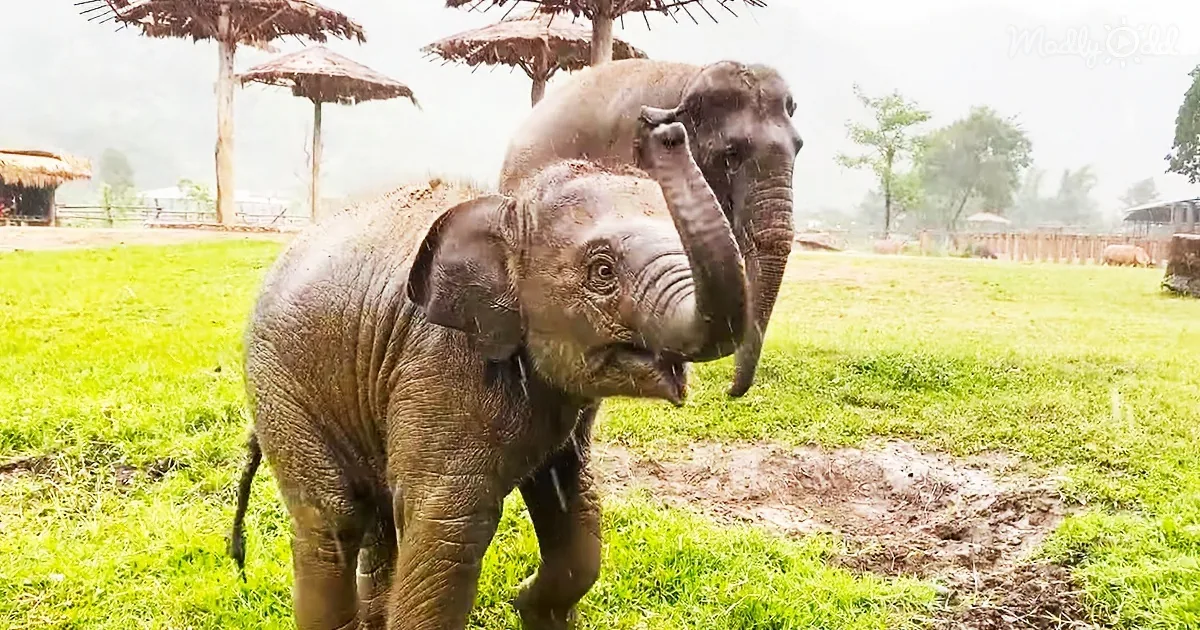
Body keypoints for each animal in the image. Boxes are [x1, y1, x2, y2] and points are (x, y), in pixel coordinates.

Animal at [228, 116, 747, 630]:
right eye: (602, 271)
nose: (666, 129)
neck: (508, 209)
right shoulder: (441, 367)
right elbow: (449, 529)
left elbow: (574, 502)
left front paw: (529, 606)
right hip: (281, 384)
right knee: (332, 520)